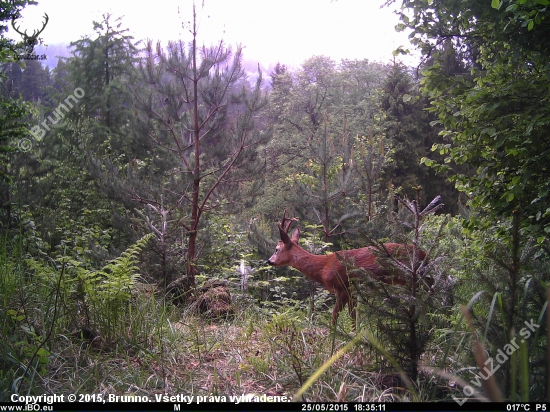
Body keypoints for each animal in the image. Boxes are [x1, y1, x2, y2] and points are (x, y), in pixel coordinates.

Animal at [270, 212, 430, 326]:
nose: (269, 261)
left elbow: (334, 316)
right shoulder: (352, 291)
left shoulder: (343, 288)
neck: (323, 267)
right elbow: (353, 316)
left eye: (277, 249)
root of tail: (425, 255)